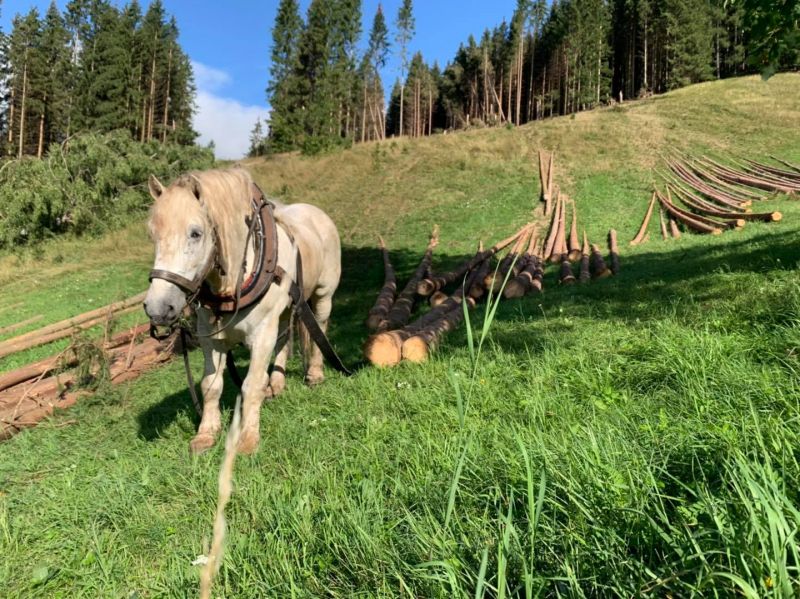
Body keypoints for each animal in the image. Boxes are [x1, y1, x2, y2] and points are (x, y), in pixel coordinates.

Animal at [144, 166, 340, 452]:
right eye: (153, 235)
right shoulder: (211, 339)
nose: (157, 307)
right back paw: (277, 383)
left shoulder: (261, 335)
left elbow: (252, 385)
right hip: (284, 310)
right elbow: (210, 385)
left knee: (320, 329)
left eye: (195, 233)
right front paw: (206, 433)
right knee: (285, 336)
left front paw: (247, 439)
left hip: (323, 295)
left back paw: (315, 373)